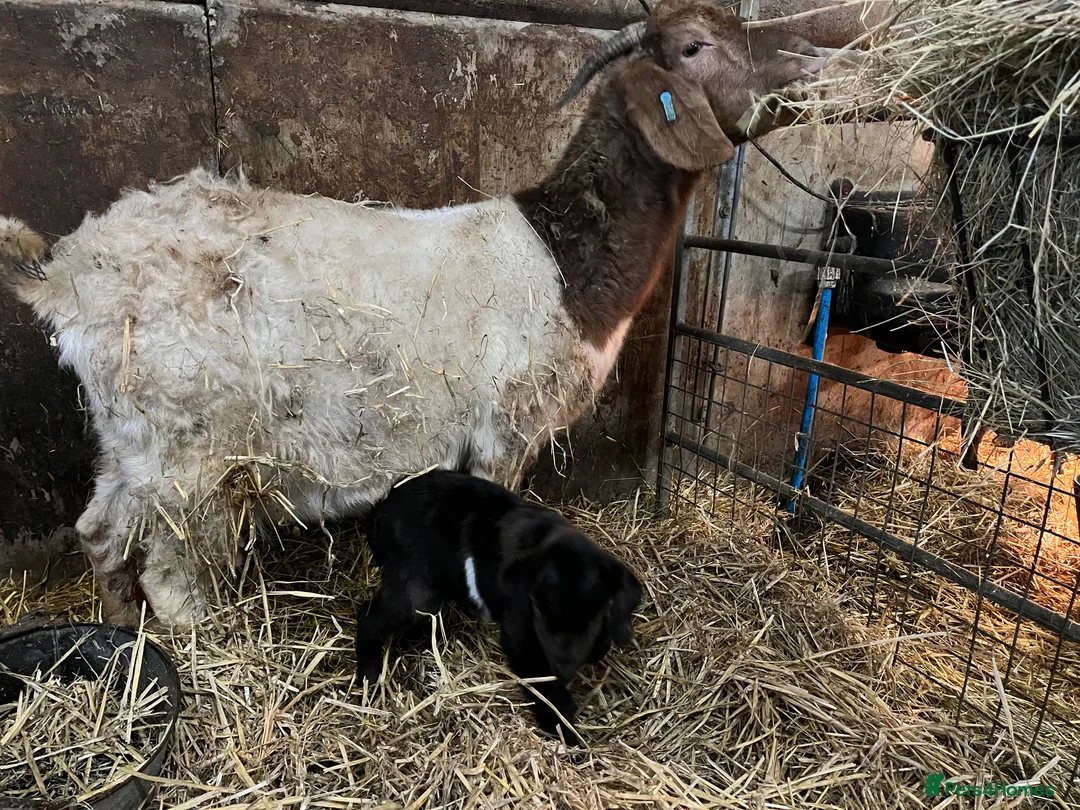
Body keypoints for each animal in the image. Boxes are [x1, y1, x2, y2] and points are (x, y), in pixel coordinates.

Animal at [0, 0, 856, 627]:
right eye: (695, 48)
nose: (821, 58)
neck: (561, 256)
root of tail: (65, 276)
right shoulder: (508, 424)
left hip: (131, 438)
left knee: (100, 531)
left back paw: (121, 629)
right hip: (191, 450)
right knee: (171, 570)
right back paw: (204, 640)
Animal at [356, 470, 642, 745]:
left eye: (592, 615)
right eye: (539, 610)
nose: (564, 669)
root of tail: (382, 507)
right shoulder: (520, 637)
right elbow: (544, 688)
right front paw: (568, 736)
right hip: (416, 589)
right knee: (369, 618)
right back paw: (367, 678)